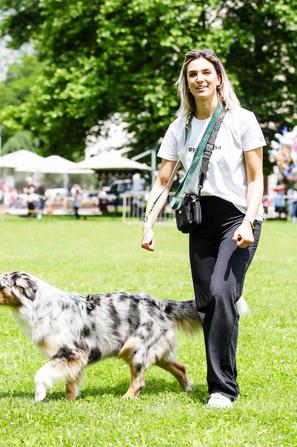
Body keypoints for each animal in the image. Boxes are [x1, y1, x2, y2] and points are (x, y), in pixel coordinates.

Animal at [0, 272, 247, 402]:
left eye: (1, 285)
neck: (41, 306)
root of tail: (161, 304)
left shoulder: (70, 351)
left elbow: (41, 374)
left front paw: (40, 395)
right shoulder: (74, 357)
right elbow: (71, 381)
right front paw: (70, 401)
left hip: (135, 347)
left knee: (139, 380)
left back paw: (127, 398)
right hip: (157, 352)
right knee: (180, 367)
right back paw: (187, 388)